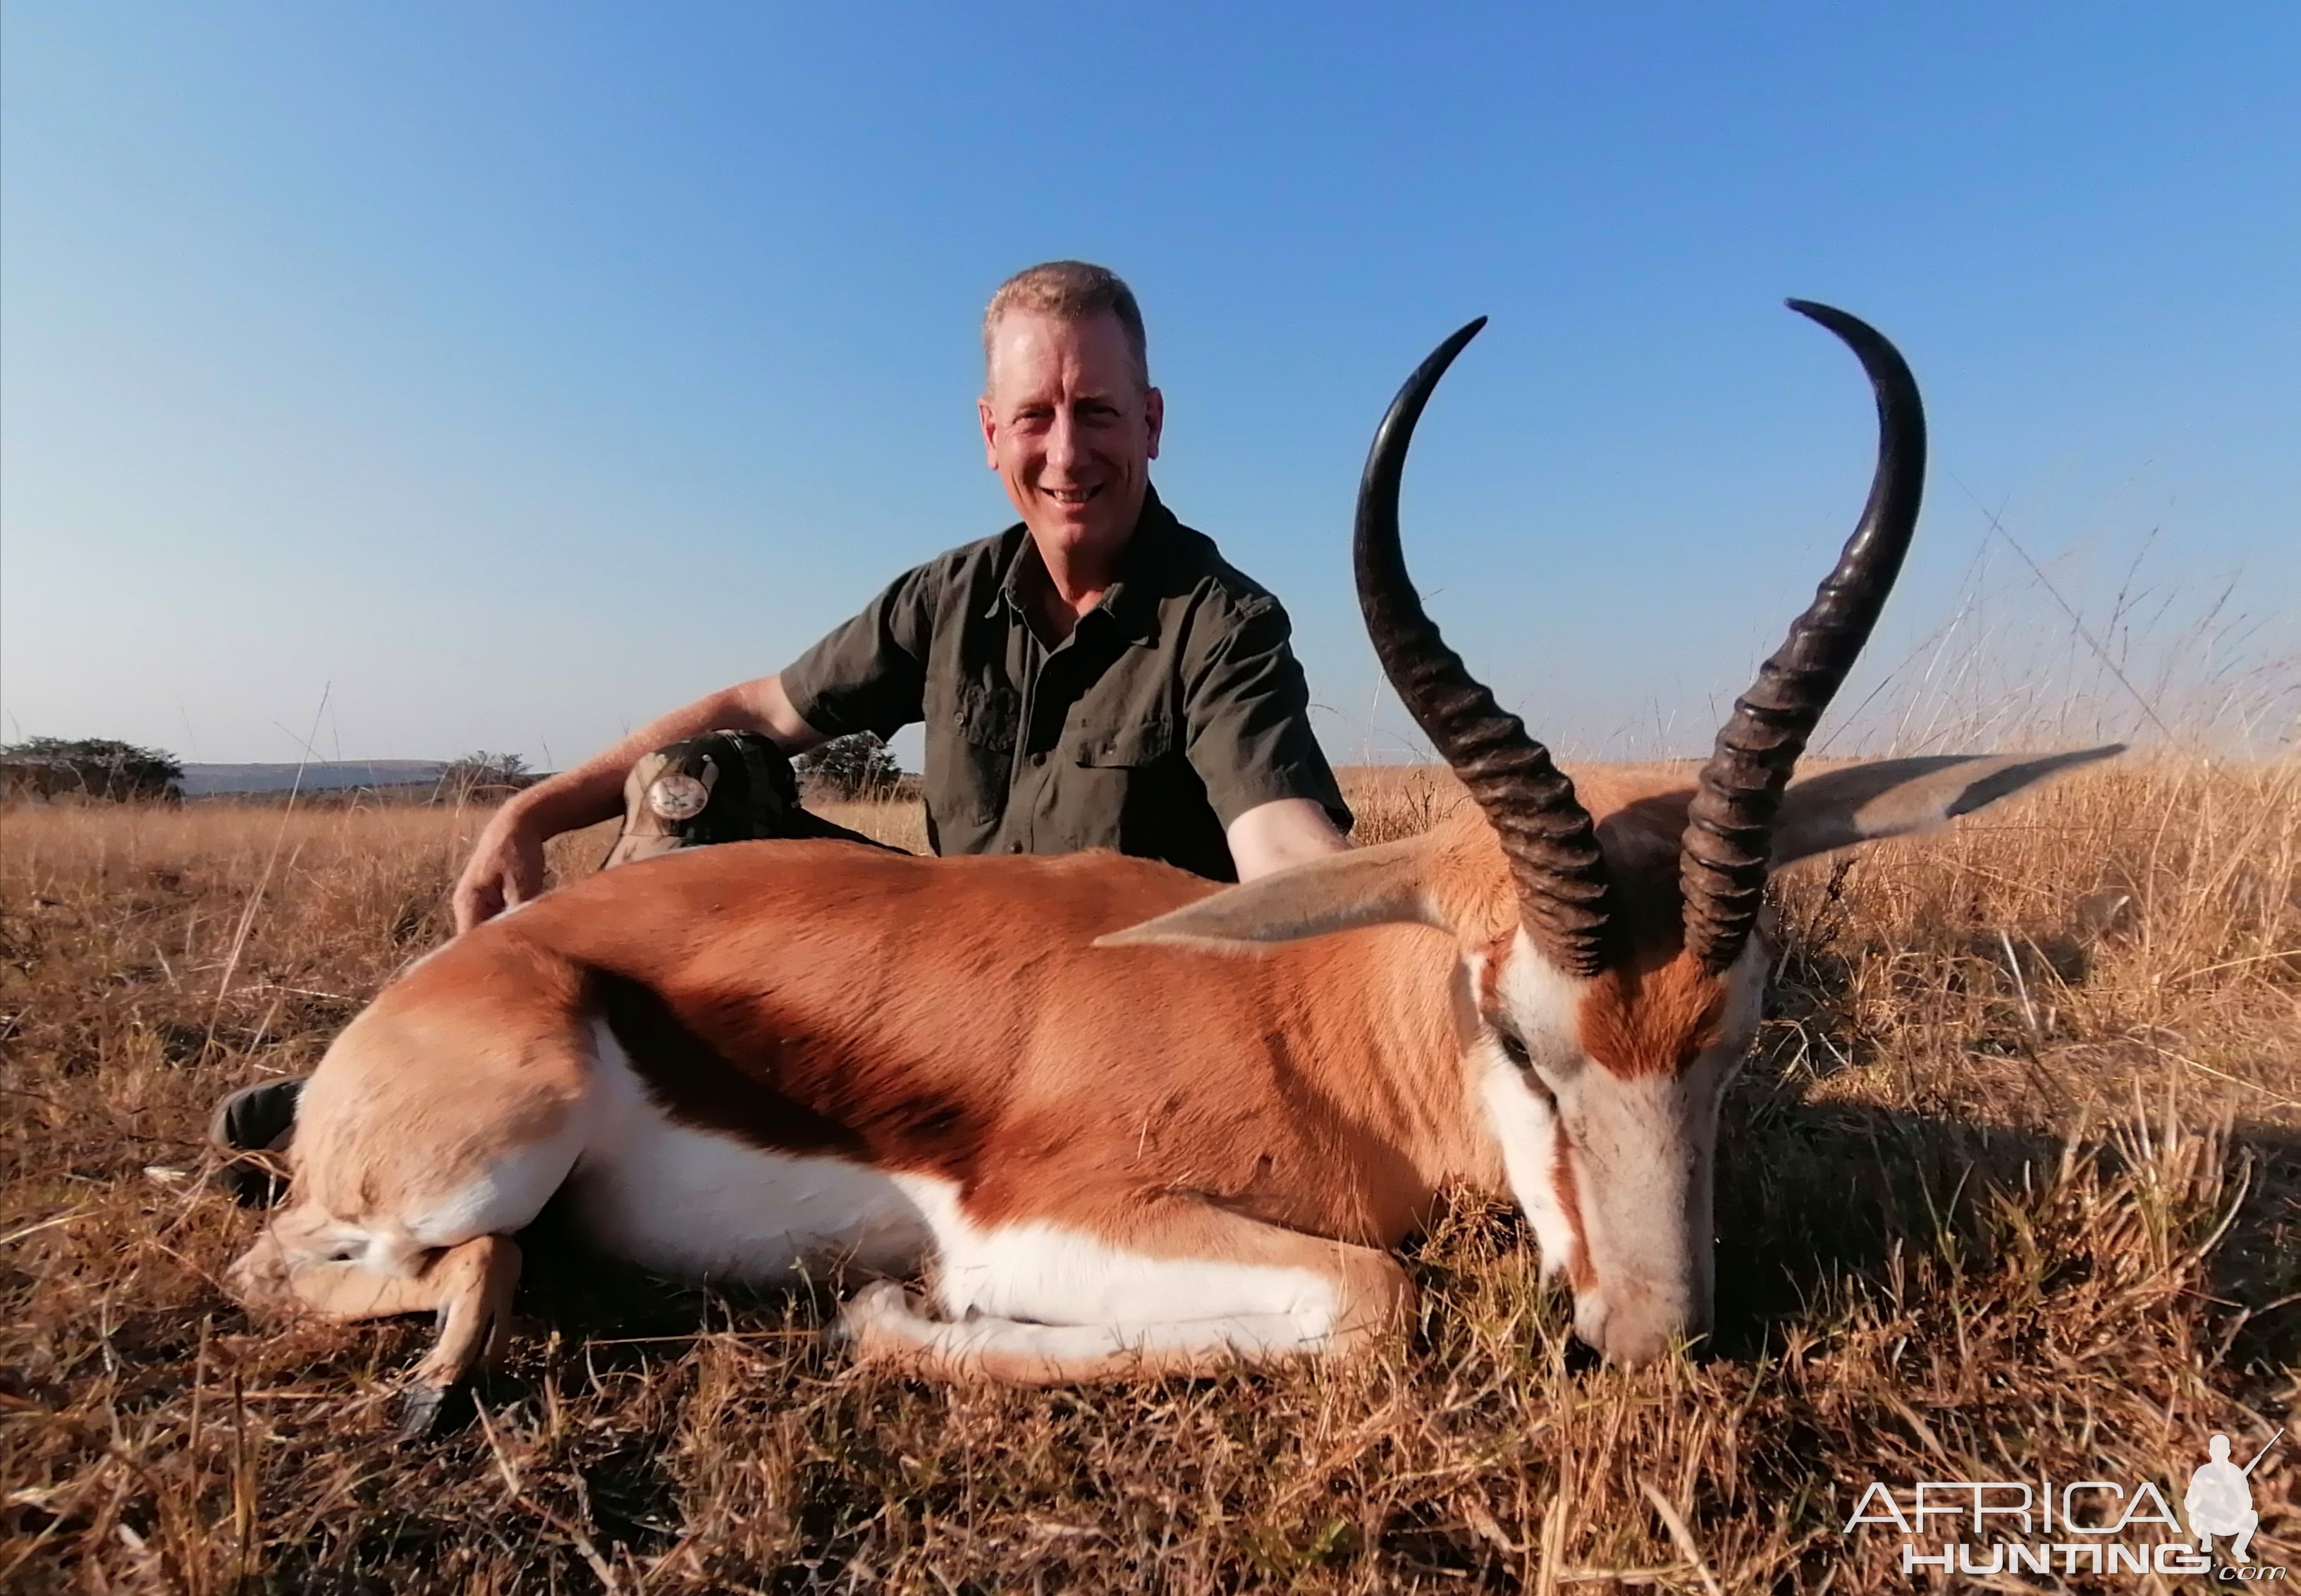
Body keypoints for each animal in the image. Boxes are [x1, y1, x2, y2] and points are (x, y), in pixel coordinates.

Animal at [224, 305, 2107, 1435]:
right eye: (1516, 1032)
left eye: (1739, 1031)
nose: (1648, 1342)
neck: (1305, 1019)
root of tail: (453, 976)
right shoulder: (1050, 1212)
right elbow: (1377, 1296)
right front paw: (899, 1318)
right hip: (496, 1148)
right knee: (305, 1262)